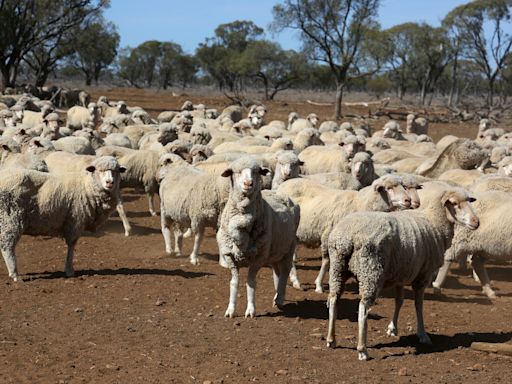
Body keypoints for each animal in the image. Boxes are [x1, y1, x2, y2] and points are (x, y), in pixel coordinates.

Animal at [216, 156, 300, 318]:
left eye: (256, 172)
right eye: (236, 172)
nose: (249, 183)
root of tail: (279, 193)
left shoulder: (258, 258)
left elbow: (251, 282)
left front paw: (250, 310)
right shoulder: (230, 256)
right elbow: (234, 283)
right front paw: (230, 310)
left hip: (289, 248)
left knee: (285, 271)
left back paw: (280, 298)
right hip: (275, 251)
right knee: (277, 271)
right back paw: (276, 296)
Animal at [276, 172, 412, 292]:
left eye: (403, 186)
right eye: (389, 188)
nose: (408, 200)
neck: (360, 204)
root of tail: (281, 186)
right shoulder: (328, 235)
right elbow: (326, 261)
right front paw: (319, 285)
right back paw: (296, 282)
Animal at [324, 185, 480, 360]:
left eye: (469, 201)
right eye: (454, 203)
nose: (476, 222)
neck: (434, 223)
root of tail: (346, 236)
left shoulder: (401, 273)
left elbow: (399, 301)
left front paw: (393, 328)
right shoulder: (423, 275)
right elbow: (419, 304)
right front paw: (422, 334)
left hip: (337, 268)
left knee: (333, 300)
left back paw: (331, 339)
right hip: (371, 271)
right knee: (363, 308)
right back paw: (362, 349)